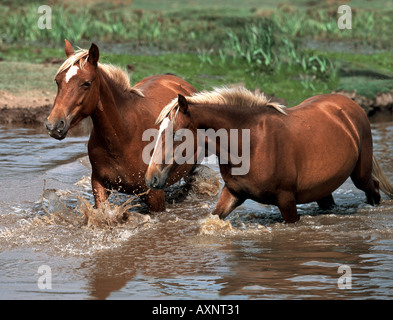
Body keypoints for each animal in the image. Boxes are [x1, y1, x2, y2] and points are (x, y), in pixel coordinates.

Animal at [45, 39, 196, 210]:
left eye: (86, 83)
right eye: (57, 81)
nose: (54, 125)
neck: (123, 135)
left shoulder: (155, 196)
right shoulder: (99, 185)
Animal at [145, 86, 392, 224]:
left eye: (177, 135)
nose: (151, 178)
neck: (250, 144)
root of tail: (352, 107)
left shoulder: (286, 200)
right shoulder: (233, 192)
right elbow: (215, 216)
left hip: (360, 176)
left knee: (374, 189)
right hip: (322, 189)